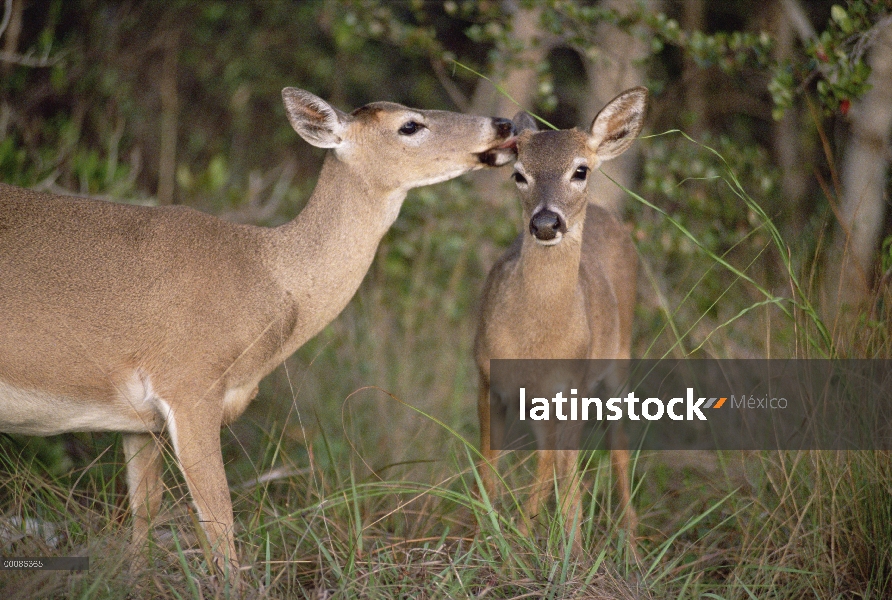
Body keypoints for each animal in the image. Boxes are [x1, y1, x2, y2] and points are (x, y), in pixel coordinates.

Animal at [0, 89, 512, 580]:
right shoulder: (189, 383)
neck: (269, 275)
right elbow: (220, 527)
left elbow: (144, 519)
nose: (504, 124)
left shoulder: (137, 422)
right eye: (409, 125)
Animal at [474, 88, 648, 544]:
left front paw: (563, 546)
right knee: (551, 460)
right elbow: (488, 470)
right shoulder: (487, 379)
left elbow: (564, 481)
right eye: (519, 174)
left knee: (617, 450)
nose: (547, 222)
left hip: (618, 361)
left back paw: (629, 538)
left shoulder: (571, 387)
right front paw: (487, 538)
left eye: (580, 170)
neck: (535, 342)